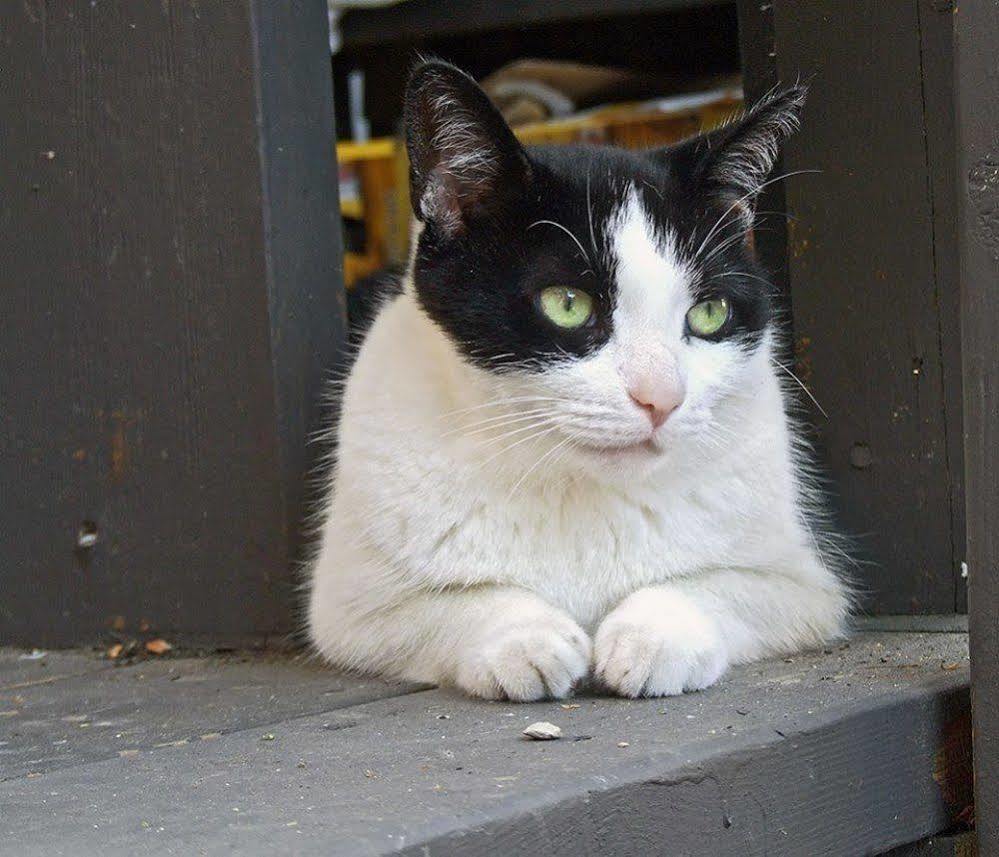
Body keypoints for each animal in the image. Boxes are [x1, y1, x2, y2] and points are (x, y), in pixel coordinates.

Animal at [306, 60, 852, 704]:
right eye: (567, 304)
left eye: (710, 313)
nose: (661, 398)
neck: (577, 486)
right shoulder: (350, 603)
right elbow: (449, 602)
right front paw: (525, 639)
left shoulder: (803, 584)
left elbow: (723, 585)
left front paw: (652, 635)